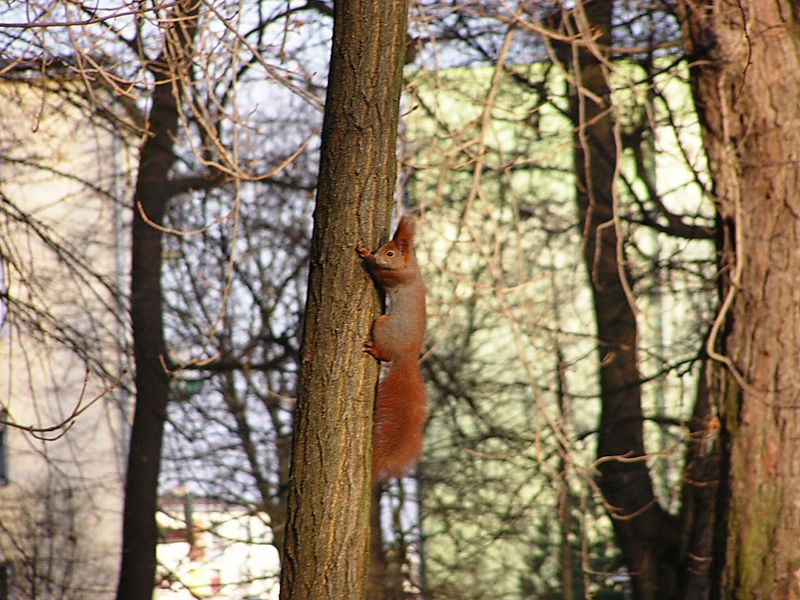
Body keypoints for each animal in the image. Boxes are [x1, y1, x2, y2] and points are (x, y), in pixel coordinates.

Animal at [356, 213, 428, 480]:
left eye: (390, 253)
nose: (377, 255)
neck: (410, 267)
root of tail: (408, 356)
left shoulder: (394, 277)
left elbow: (378, 274)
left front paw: (365, 255)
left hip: (382, 324)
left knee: (386, 356)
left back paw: (374, 349)